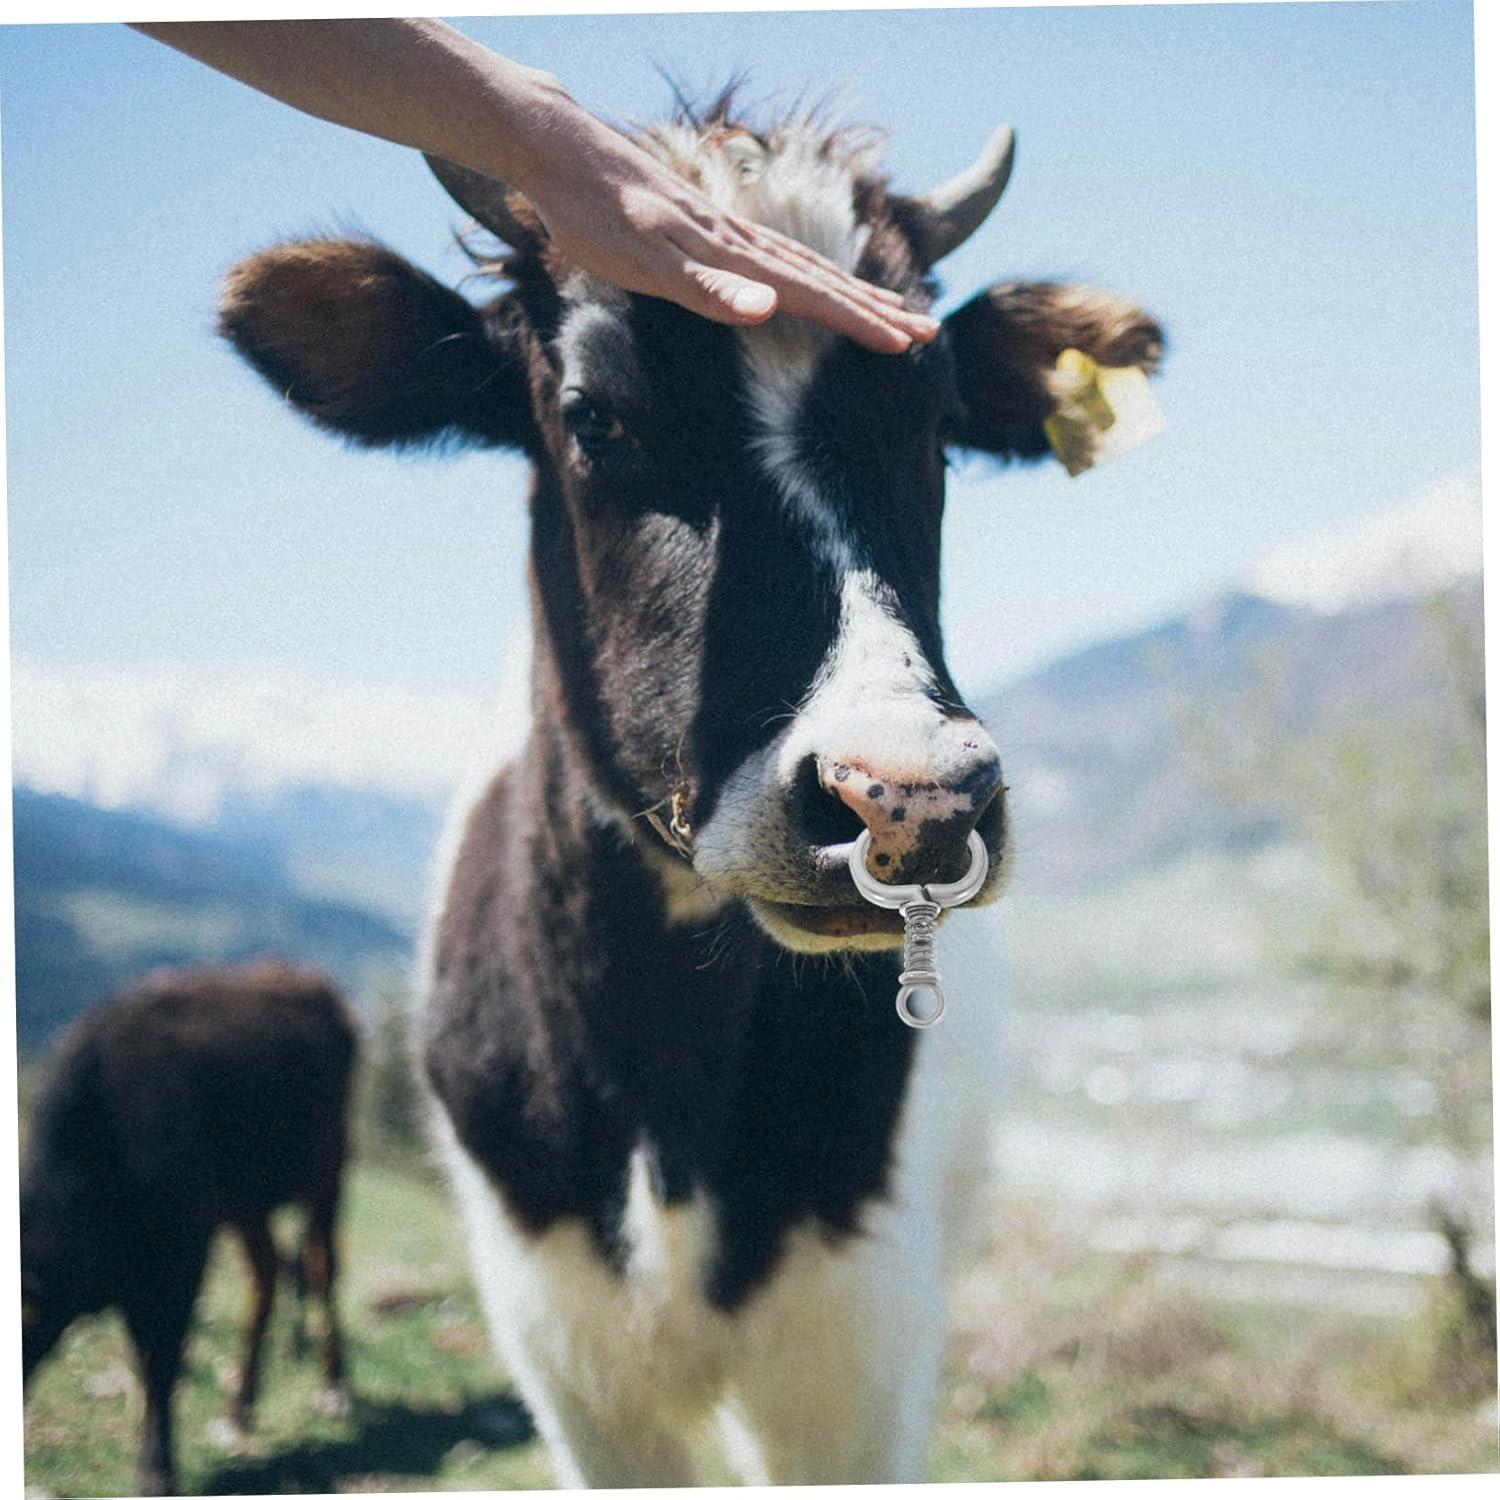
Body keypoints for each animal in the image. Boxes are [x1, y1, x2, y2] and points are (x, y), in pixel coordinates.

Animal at [20, 961, 357, 1496]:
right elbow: (148, 1357)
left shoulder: (181, 1259)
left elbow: (162, 1359)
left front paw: (157, 1468)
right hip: (246, 1204)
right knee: (265, 1276)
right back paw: (241, 1406)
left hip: (326, 1169)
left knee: (320, 1268)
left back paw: (335, 1389)